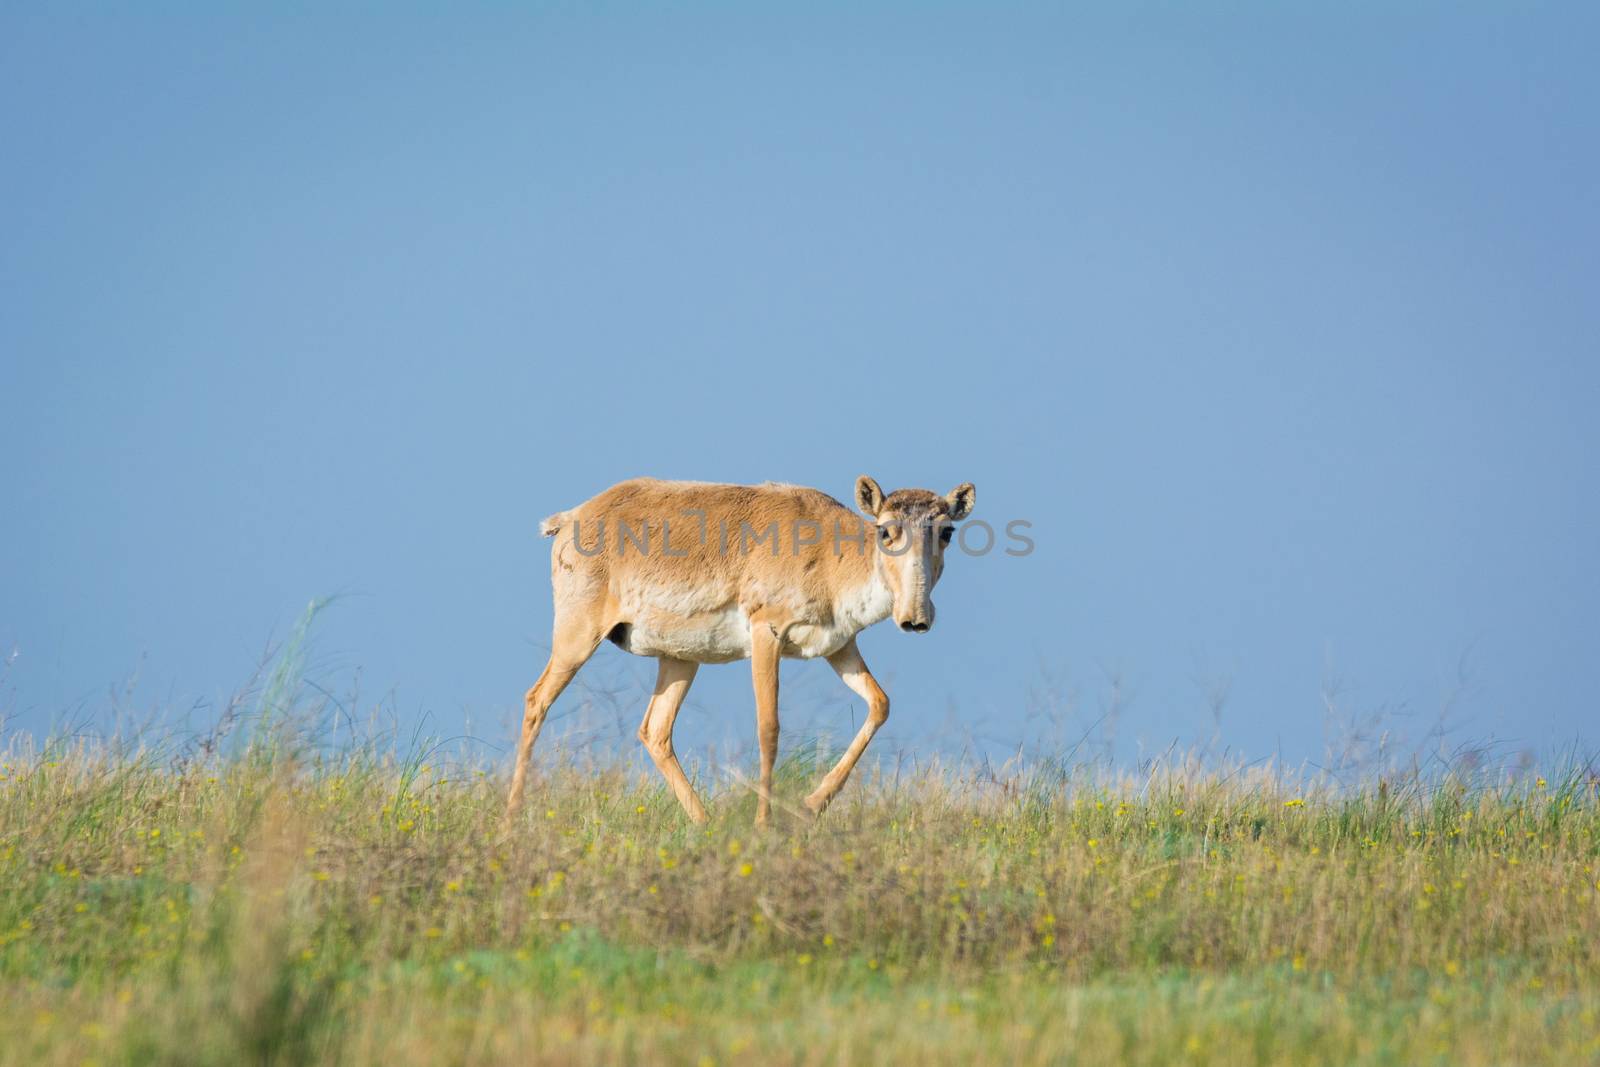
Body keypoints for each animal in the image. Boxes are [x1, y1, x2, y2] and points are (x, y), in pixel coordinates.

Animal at [499, 479, 972, 831]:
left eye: (947, 531)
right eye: (885, 529)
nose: (915, 618)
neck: (831, 552)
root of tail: (569, 518)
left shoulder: (840, 647)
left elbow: (880, 704)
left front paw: (810, 806)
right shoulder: (767, 633)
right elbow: (769, 728)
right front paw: (764, 824)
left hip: (679, 658)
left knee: (655, 731)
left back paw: (705, 823)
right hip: (577, 637)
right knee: (536, 700)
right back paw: (512, 818)